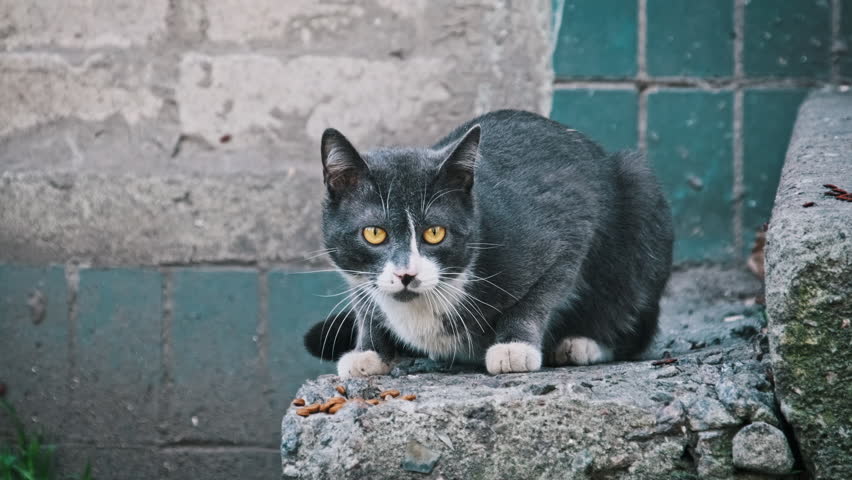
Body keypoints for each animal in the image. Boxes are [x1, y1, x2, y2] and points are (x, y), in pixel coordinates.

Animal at [304, 110, 672, 376]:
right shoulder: (355, 274)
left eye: (435, 233)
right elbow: (364, 303)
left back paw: (583, 343)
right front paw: (369, 352)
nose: (406, 274)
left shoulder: (570, 222)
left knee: (632, 319)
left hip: (640, 192)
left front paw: (514, 347)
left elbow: (541, 293)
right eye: (374, 234)